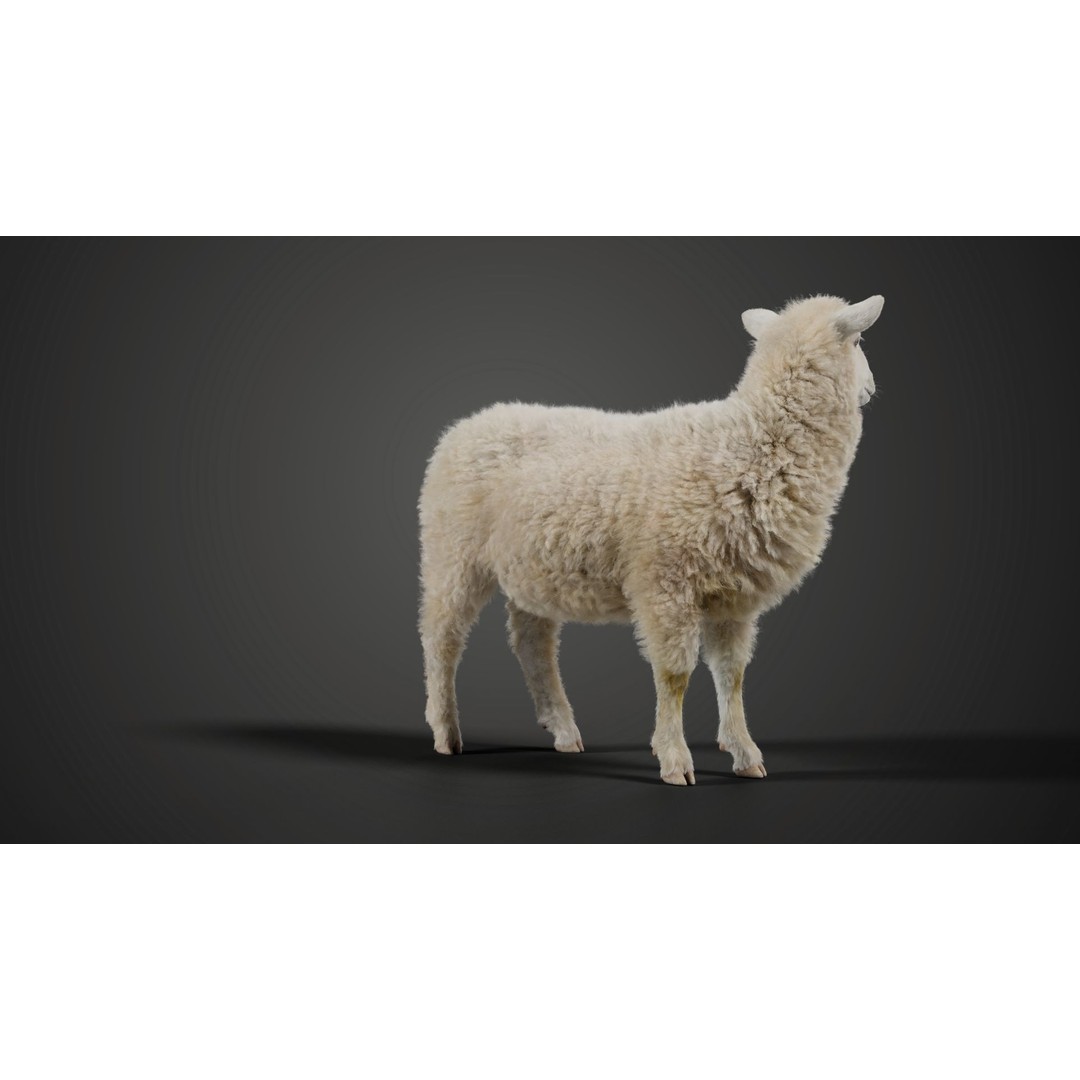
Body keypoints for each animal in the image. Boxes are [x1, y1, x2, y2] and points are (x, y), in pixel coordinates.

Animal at [418, 294, 883, 785]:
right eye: (859, 341)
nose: (872, 387)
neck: (748, 440)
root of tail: (466, 424)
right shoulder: (666, 581)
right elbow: (675, 675)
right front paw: (675, 758)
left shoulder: (733, 596)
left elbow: (732, 674)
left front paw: (744, 752)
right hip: (452, 552)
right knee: (442, 638)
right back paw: (446, 731)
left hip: (532, 566)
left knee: (532, 642)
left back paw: (562, 727)